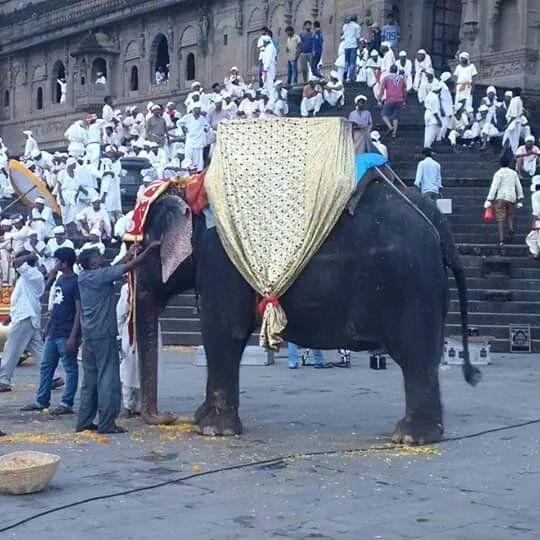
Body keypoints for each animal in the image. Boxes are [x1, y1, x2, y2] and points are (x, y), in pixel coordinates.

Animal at [133, 175, 478, 446]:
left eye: (140, 248)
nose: (168, 416)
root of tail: (436, 221)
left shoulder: (223, 261)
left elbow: (224, 329)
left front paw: (211, 430)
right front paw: (201, 418)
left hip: (411, 284)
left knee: (415, 354)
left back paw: (410, 437)